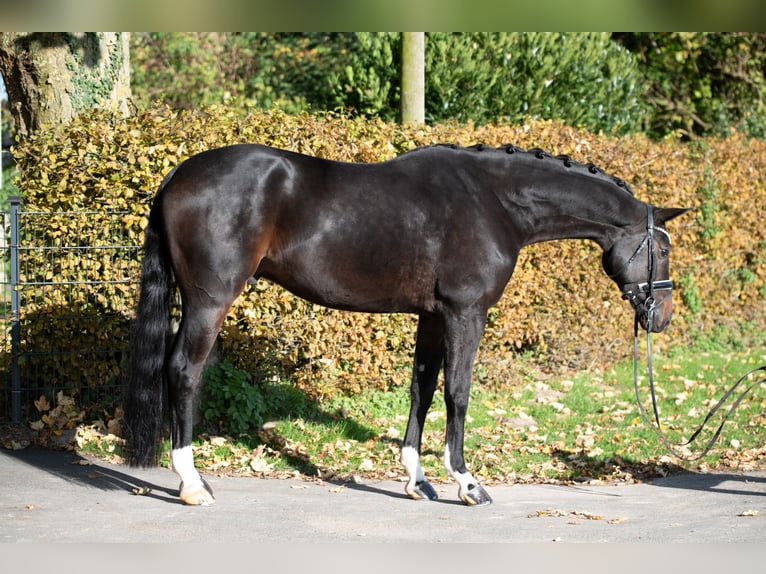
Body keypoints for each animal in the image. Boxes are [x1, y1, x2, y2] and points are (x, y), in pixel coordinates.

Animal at [124, 144, 688, 508]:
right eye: (661, 250)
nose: (661, 317)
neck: (494, 201)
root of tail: (178, 175)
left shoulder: (433, 316)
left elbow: (422, 388)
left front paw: (418, 480)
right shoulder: (465, 313)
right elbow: (458, 391)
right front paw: (467, 482)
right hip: (209, 301)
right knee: (184, 371)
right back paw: (192, 483)